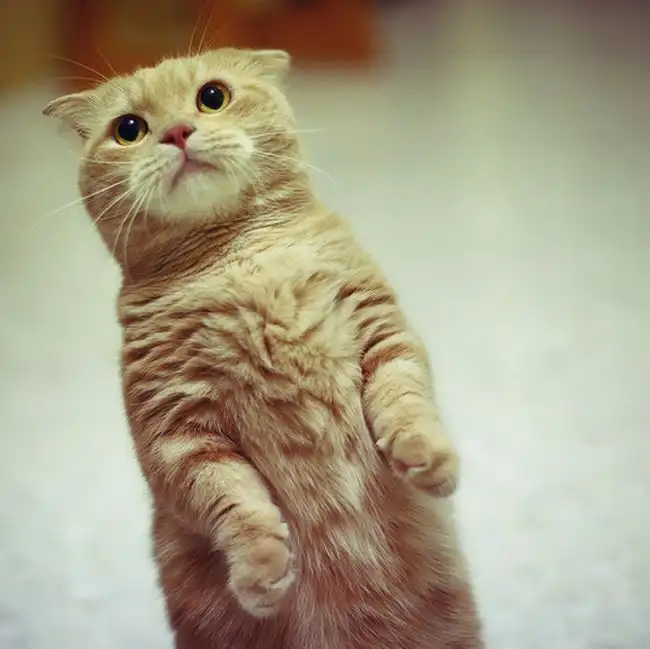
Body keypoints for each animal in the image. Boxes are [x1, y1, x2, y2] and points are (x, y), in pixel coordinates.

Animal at [44, 47, 484, 649]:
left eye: (212, 97)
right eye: (129, 129)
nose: (177, 132)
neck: (239, 265)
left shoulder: (381, 330)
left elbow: (404, 397)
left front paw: (428, 458)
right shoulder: (177, 433)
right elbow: (235, 502)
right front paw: (261, 569)